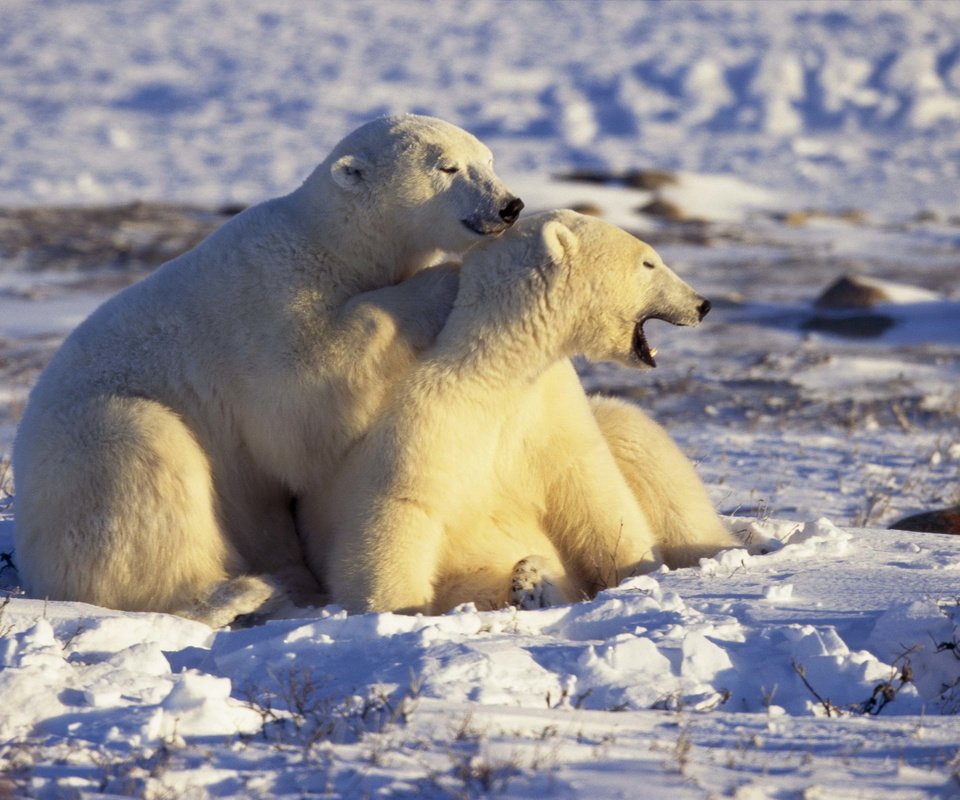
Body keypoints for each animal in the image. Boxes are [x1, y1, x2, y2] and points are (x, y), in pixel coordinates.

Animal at [13, 114, 524, 624]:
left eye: (488, 160)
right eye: (447, 166)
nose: (509, 206)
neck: (331, 245)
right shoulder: (274, 300)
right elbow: (299, 404)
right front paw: (445, 281)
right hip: (88, 445)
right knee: (141, 462)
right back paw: (238, 592)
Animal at [316, 209, 736, 616]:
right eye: (648, 262)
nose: (702, 304)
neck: (495, 373)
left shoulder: (550, 412)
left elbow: (595, 494)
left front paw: (640, 572)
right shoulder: (425, 422)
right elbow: (399, 510)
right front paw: (394, 611)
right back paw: (530, 583)